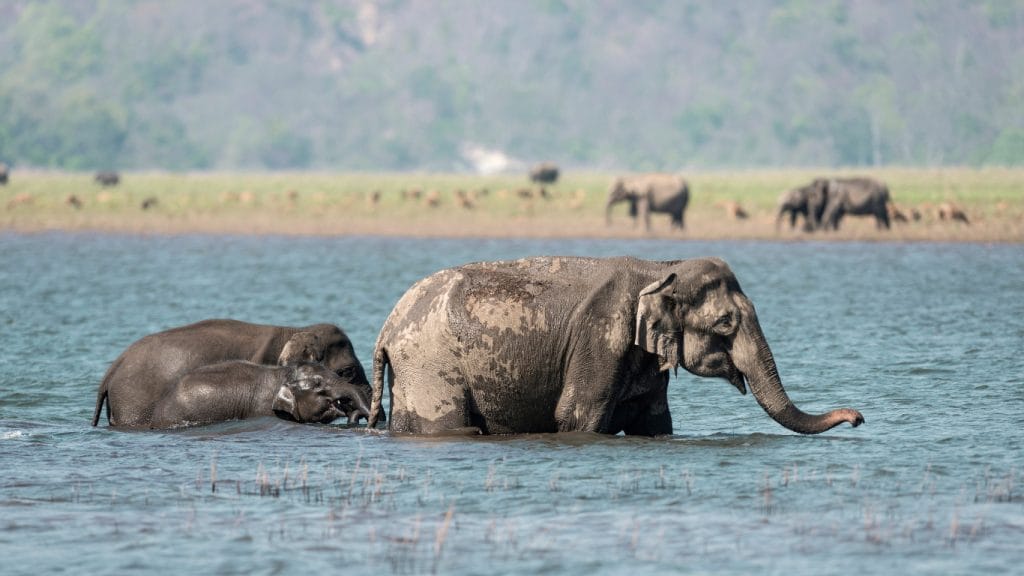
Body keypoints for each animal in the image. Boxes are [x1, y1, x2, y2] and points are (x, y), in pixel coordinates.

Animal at [367, 256, 864, 436]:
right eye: (725, 324)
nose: (858, 417)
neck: (660, 270)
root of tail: (387, 327)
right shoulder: (601, 336)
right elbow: (576, 416)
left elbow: (654, 422)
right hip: (431, 366)